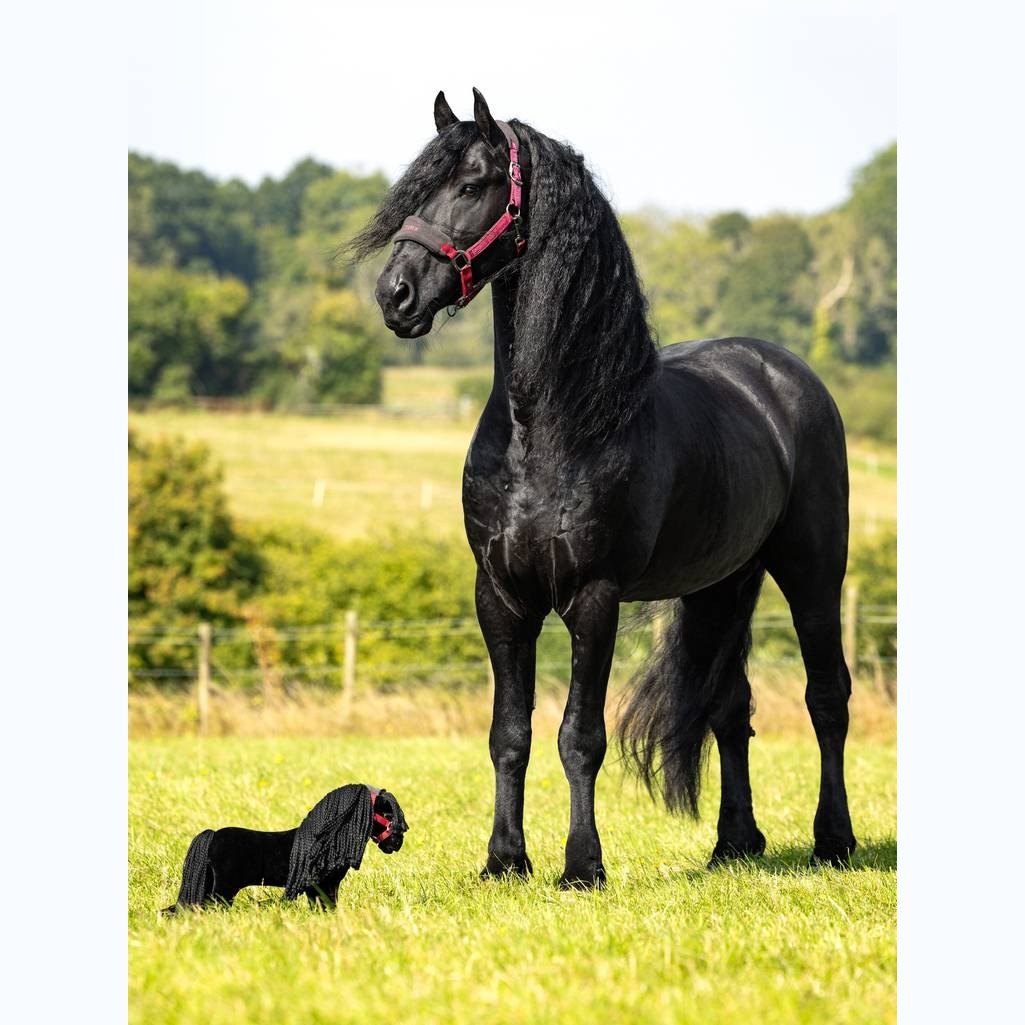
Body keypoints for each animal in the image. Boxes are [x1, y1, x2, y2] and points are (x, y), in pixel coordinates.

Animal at [352, 88, 856, 889]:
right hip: (721, 584)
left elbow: (579, 735)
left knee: (826, 696)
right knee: (728, 706)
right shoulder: (500, 596)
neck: (548, 425)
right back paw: (733, 844)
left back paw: (832, 839)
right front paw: (504, 860)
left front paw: (581, 865)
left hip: (811, 570)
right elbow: (510, 733)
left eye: (472, 184)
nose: (394, 295)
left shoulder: (594, 595)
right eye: (414, 189)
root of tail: (784, 374)